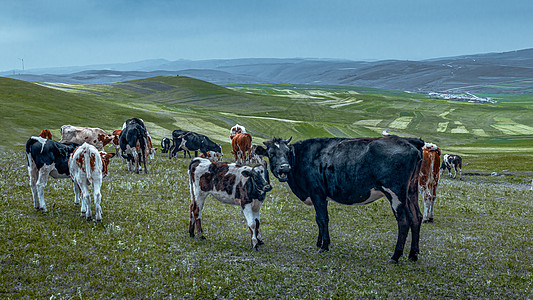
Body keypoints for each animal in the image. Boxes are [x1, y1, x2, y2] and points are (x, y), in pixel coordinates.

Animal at [256, 136, 424, 262]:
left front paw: (324, 246)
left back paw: (396, 256)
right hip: (411, 191)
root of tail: (408, 141)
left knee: (404, 220)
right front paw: (319, 242)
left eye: (287, 152)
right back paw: (413, 254)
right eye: (271, 153)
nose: (284, 168)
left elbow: (323, 219)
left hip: (395, 193)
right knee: (417, 217)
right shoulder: (322, 196)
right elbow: (318, 219)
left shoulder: (317, 193)